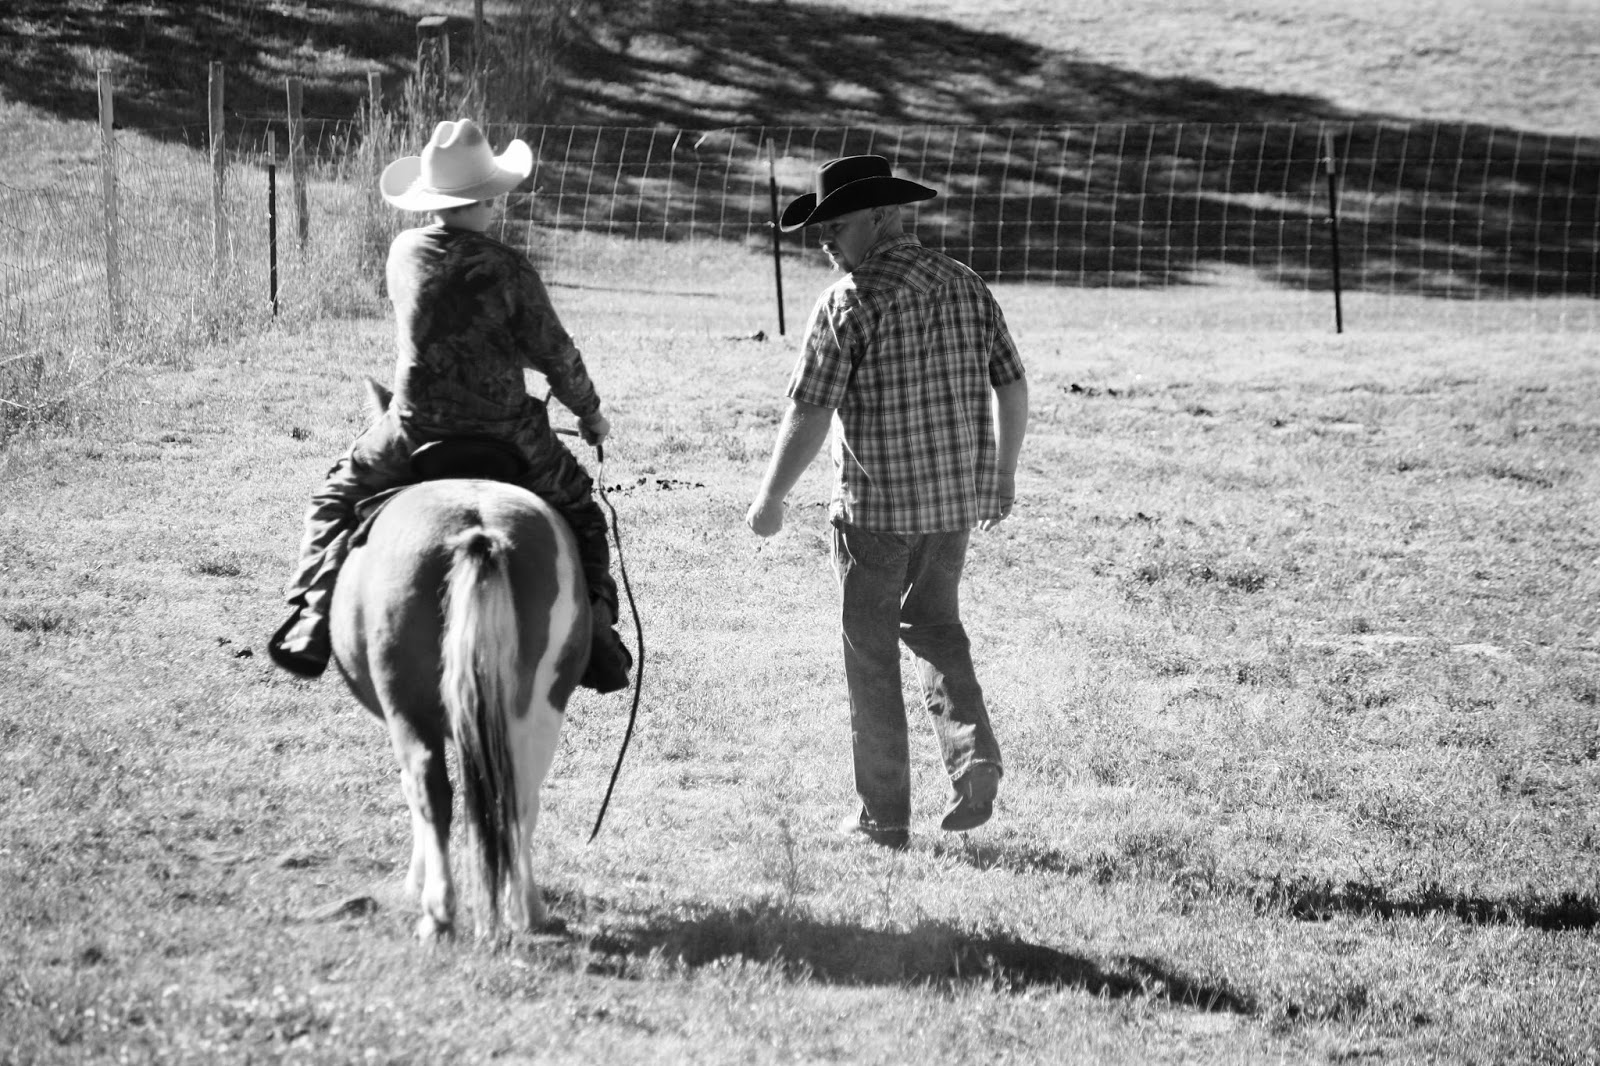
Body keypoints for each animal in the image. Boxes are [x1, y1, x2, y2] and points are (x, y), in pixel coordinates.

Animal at [329, 384, 590, 940]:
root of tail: (478, 533)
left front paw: (415, 882)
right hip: (538, 706)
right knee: (521, 791)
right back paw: (527, 907)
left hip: (407, 706)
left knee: (430, 788)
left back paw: (438, 911)